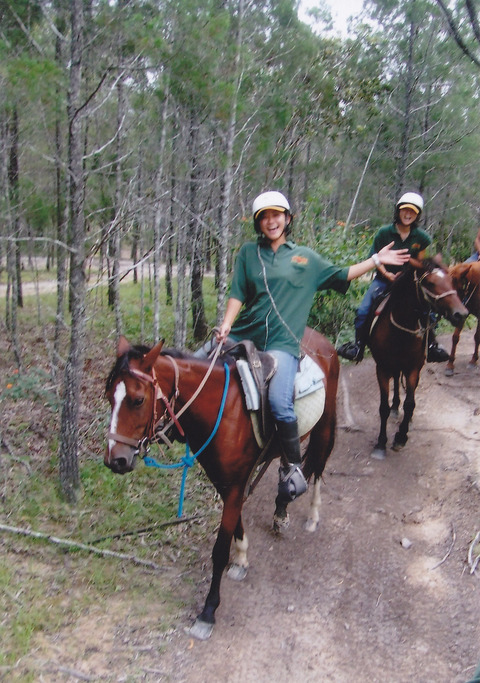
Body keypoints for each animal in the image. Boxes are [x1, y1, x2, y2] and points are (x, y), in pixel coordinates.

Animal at [104, 326, 338, 640]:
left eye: (138, 399)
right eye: (109, 397)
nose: (115, 460)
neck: (222, 408)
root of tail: (324, 342)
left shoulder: (236, 482)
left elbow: (218, 550)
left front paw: (208, 612)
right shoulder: (223, 479)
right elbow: (236, 520)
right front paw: (241, 558)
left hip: (325, 424)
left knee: (319, 467)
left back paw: (312, 514)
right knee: (291, 465)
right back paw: (281, 509)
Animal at [368, 256, 464, 460]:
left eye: (452, 281)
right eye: (431, 283)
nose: (461, 313)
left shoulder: (414, 368)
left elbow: (410, 403)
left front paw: (401, 437)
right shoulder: (382, 368)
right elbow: (383, 407)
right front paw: (380, 443)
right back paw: (395, 408)